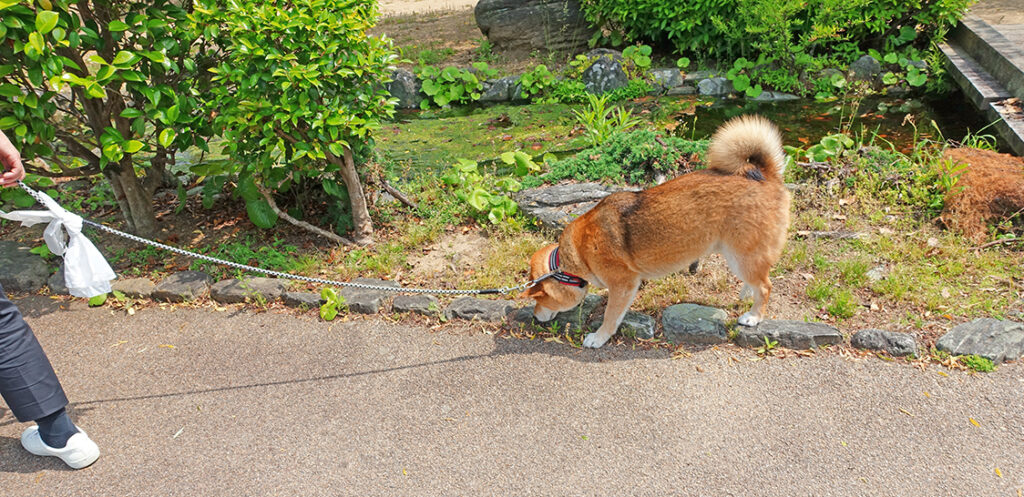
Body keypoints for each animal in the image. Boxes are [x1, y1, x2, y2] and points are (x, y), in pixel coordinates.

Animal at [520, 116, 790, 348]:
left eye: (539, 299)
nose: (534, 317)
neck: (579, 251)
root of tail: (765, 174)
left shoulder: (623, 284)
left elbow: (610, 316)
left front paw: (599, 337)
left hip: (741, 255)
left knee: (765, 287)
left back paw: (753, 316)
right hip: (737, 255)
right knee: (756, 281)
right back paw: (746, 295)